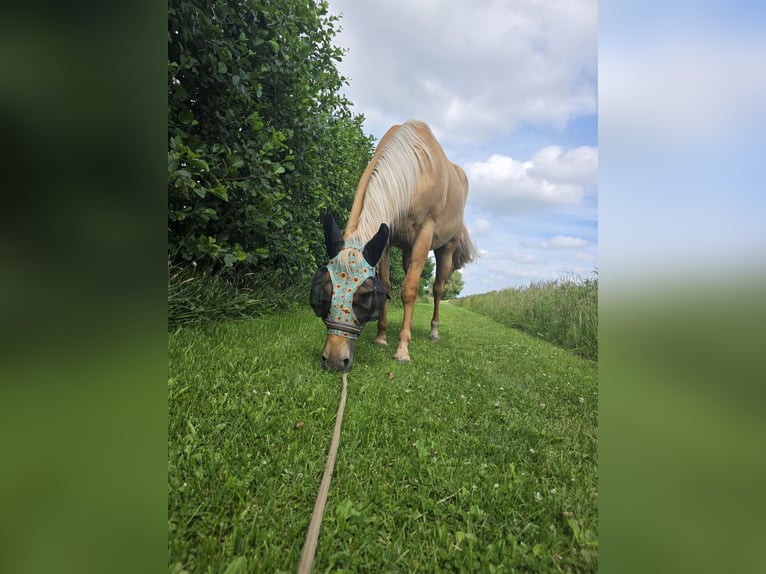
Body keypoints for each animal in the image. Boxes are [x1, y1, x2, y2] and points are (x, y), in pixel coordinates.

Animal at [310, 119, 477, 371]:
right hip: (408, 252)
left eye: (365, 296)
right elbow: (390, 284)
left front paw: (402, 350)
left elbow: (409, 290)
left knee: (438, 288)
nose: (335, 360)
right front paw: (381, 336)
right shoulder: (385, 239)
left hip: (446, 248)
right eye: (324, 293)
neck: (417, 173)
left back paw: (433, 331)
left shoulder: (424, 235)